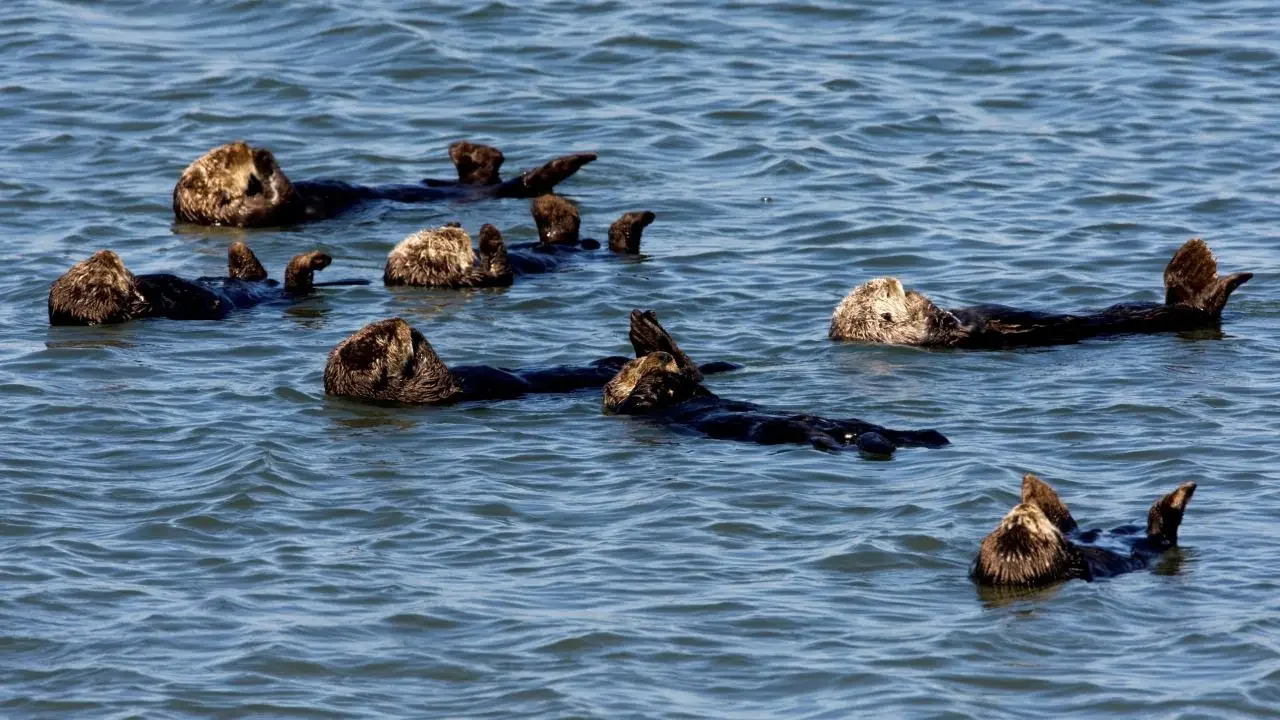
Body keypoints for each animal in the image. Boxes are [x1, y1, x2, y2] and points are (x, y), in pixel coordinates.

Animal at [48, 242, 364, 326]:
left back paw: (237, 247)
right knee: (297, 279)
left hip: (255, 278)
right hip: (292, 290)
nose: (107, 253)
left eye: (87, 262)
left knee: (254, 272)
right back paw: (316, 259)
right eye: (102, 272)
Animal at [602, 310, 949, 455]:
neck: (678, 397)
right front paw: (654, 371)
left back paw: (932, 435)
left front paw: (654, 336)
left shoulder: (697, 391)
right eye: (630, 367)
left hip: (860, 423)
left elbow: (696, 379)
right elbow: (638, 398)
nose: (660, 357)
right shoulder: (640, 410)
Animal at [971, 473, 1197, 589]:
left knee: (1065, 520)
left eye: (1008, 524)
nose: (1023, 509)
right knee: (1162, 523)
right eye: (1031, 524)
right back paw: (1185, 490)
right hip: (1156, 540)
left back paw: (1032, 484)